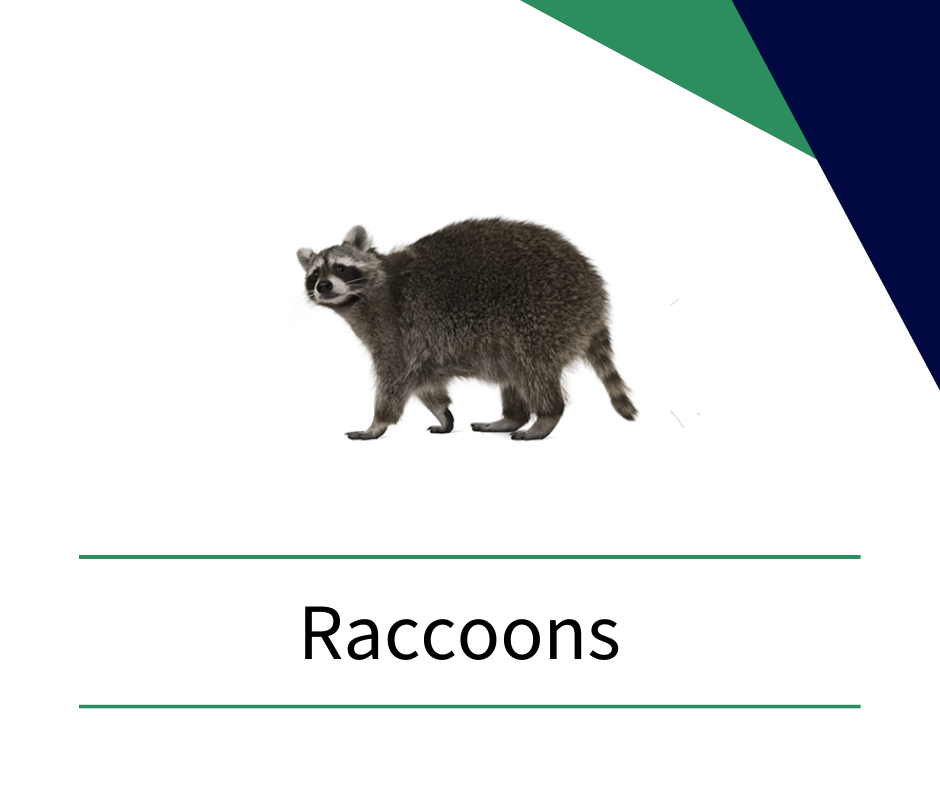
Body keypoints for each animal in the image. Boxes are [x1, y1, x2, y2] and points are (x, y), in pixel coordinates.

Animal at [296, 218, 637, 440]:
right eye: (314, 275)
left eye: (340, 267)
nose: (323, 286)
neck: (360, 299)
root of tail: (596, 294)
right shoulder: (421, 346)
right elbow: (426, 382)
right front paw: (442, 413)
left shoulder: (394, 327)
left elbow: (396, 377)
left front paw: (377, 423)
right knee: (514, 373)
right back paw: (512, 417)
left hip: (545, 316)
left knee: (533, 368)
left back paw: (546, 416)